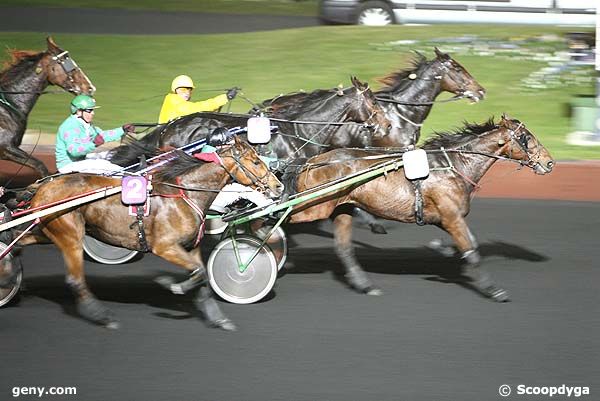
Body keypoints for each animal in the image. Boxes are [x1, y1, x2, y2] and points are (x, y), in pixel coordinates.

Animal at [14, 136, 284, 330]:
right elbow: (196, 274)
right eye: (256, 161)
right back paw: (104, 317)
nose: (278, 185)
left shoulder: (191, 247)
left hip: (44, 230)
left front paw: (219, 319)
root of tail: (44, 187)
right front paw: (173, 286)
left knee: (17, 243)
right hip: (70, 234)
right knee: (75, 279)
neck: (186, 194)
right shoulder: (165, 246)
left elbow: (202, 275)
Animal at [288, 115, 556, 300]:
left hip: (341, 209)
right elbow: (472, 252)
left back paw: (366, 285)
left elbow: (468, 245)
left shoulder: (448, 218)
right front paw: (493, 291)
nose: (549, 162)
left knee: (344, 249)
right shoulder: (452, 217)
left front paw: (441, 249)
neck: (454, 165)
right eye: (527, 137)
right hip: (312, 208)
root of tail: (311, 161)